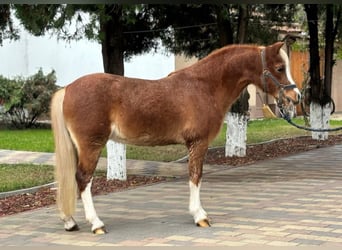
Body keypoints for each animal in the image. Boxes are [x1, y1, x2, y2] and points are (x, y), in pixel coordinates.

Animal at [50, 41, 300, 234]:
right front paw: (200, 216)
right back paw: (96, 224)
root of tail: (68, 88)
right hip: (91, 145)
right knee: (83, 179)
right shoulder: (198, 143)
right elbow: (196, 176)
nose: (295, 96)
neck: (205, 86)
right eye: (279, 68)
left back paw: (70, 222)